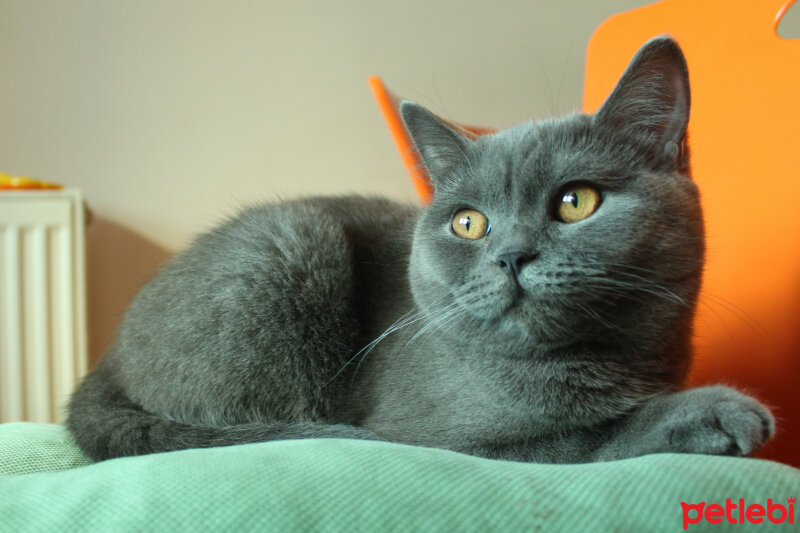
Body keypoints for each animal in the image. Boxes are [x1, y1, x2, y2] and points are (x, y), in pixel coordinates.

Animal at [69, 37, 776, 462]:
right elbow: (584, 437)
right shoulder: (441, 439)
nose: (511, 255)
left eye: (577, 202)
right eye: (468, 223)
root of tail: (104, 365)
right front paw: (717, 411)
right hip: (289, 245)